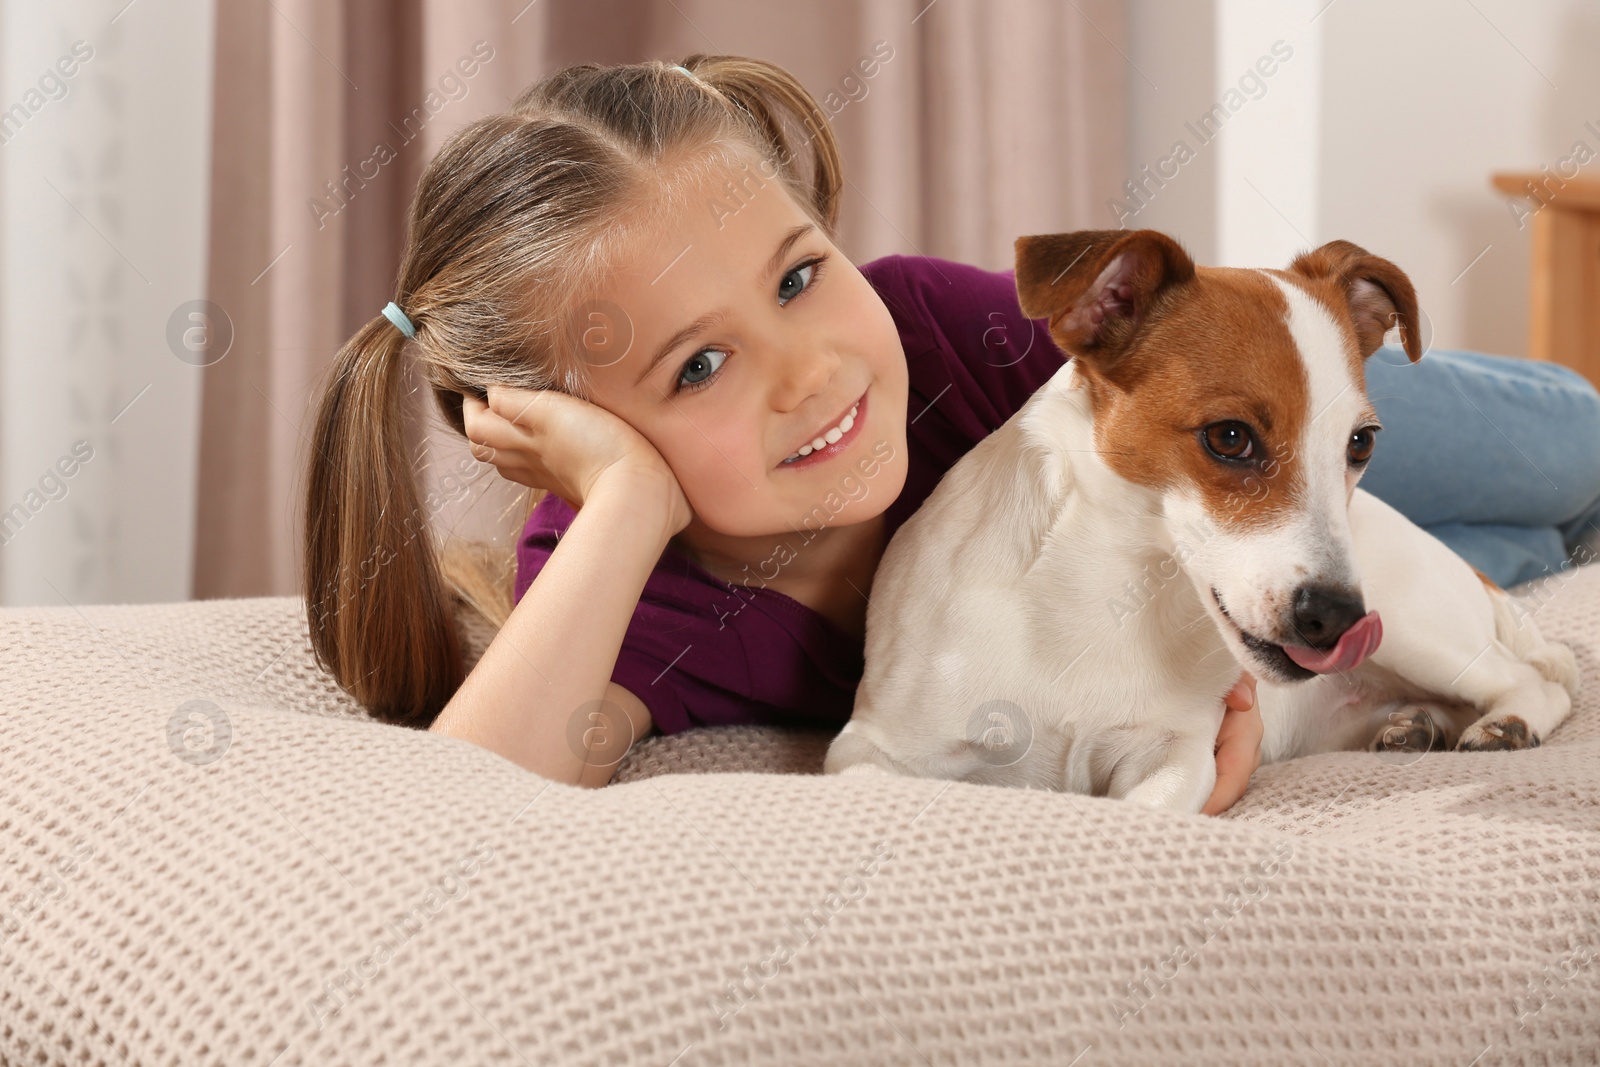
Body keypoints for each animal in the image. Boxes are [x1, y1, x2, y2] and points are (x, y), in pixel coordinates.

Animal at [832, 231, 1580, 809]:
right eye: (1229, 437)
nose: (1339, 617)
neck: (1104, 592)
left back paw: (1509, 722)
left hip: (1414, 630)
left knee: (1530, 679)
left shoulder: (1176, 753)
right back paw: (1415, 725)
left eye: (1361, 443)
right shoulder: (871, 752)